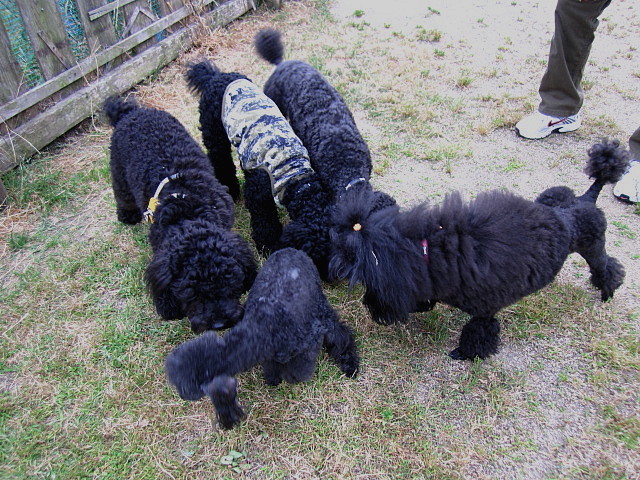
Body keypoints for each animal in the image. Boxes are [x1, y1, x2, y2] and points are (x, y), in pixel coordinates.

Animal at [104, 96, 257, 333]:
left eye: (230, 283)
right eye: (190, 293)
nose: (219, 324)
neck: (189, 211)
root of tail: (129, 111)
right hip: (119, 171)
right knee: (123, 195)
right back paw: (126, 216)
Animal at [165, 247, 360, 429]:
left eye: (185, 386)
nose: (182, 395)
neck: (262, 330)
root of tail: (293, 250)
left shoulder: (311, 341)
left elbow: (296, 373)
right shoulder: (269, 355)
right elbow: (272, 368)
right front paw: (273, 380)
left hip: (320, 306)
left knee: (340, 334)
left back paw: (350, 365)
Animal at [329, 139, 628, 360]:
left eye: (374, 287)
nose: (369, 307)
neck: (431, 256)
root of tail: (585, 199)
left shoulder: (484, 312)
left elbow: (479, 332)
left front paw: (465, 353)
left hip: (592, 247)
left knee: (606, 266)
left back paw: (607, 292)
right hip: (552, 197)